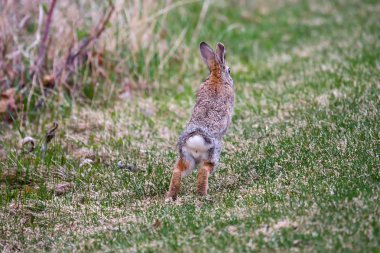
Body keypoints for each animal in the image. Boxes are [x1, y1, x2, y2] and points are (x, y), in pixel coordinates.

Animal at [166, 42, 233, 200]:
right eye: (229, 70)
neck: (216, 76)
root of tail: (197, 139)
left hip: (185, 157)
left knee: (177, 171)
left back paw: (170, 196)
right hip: (212, 156)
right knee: (204, 171)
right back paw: (203, 195)